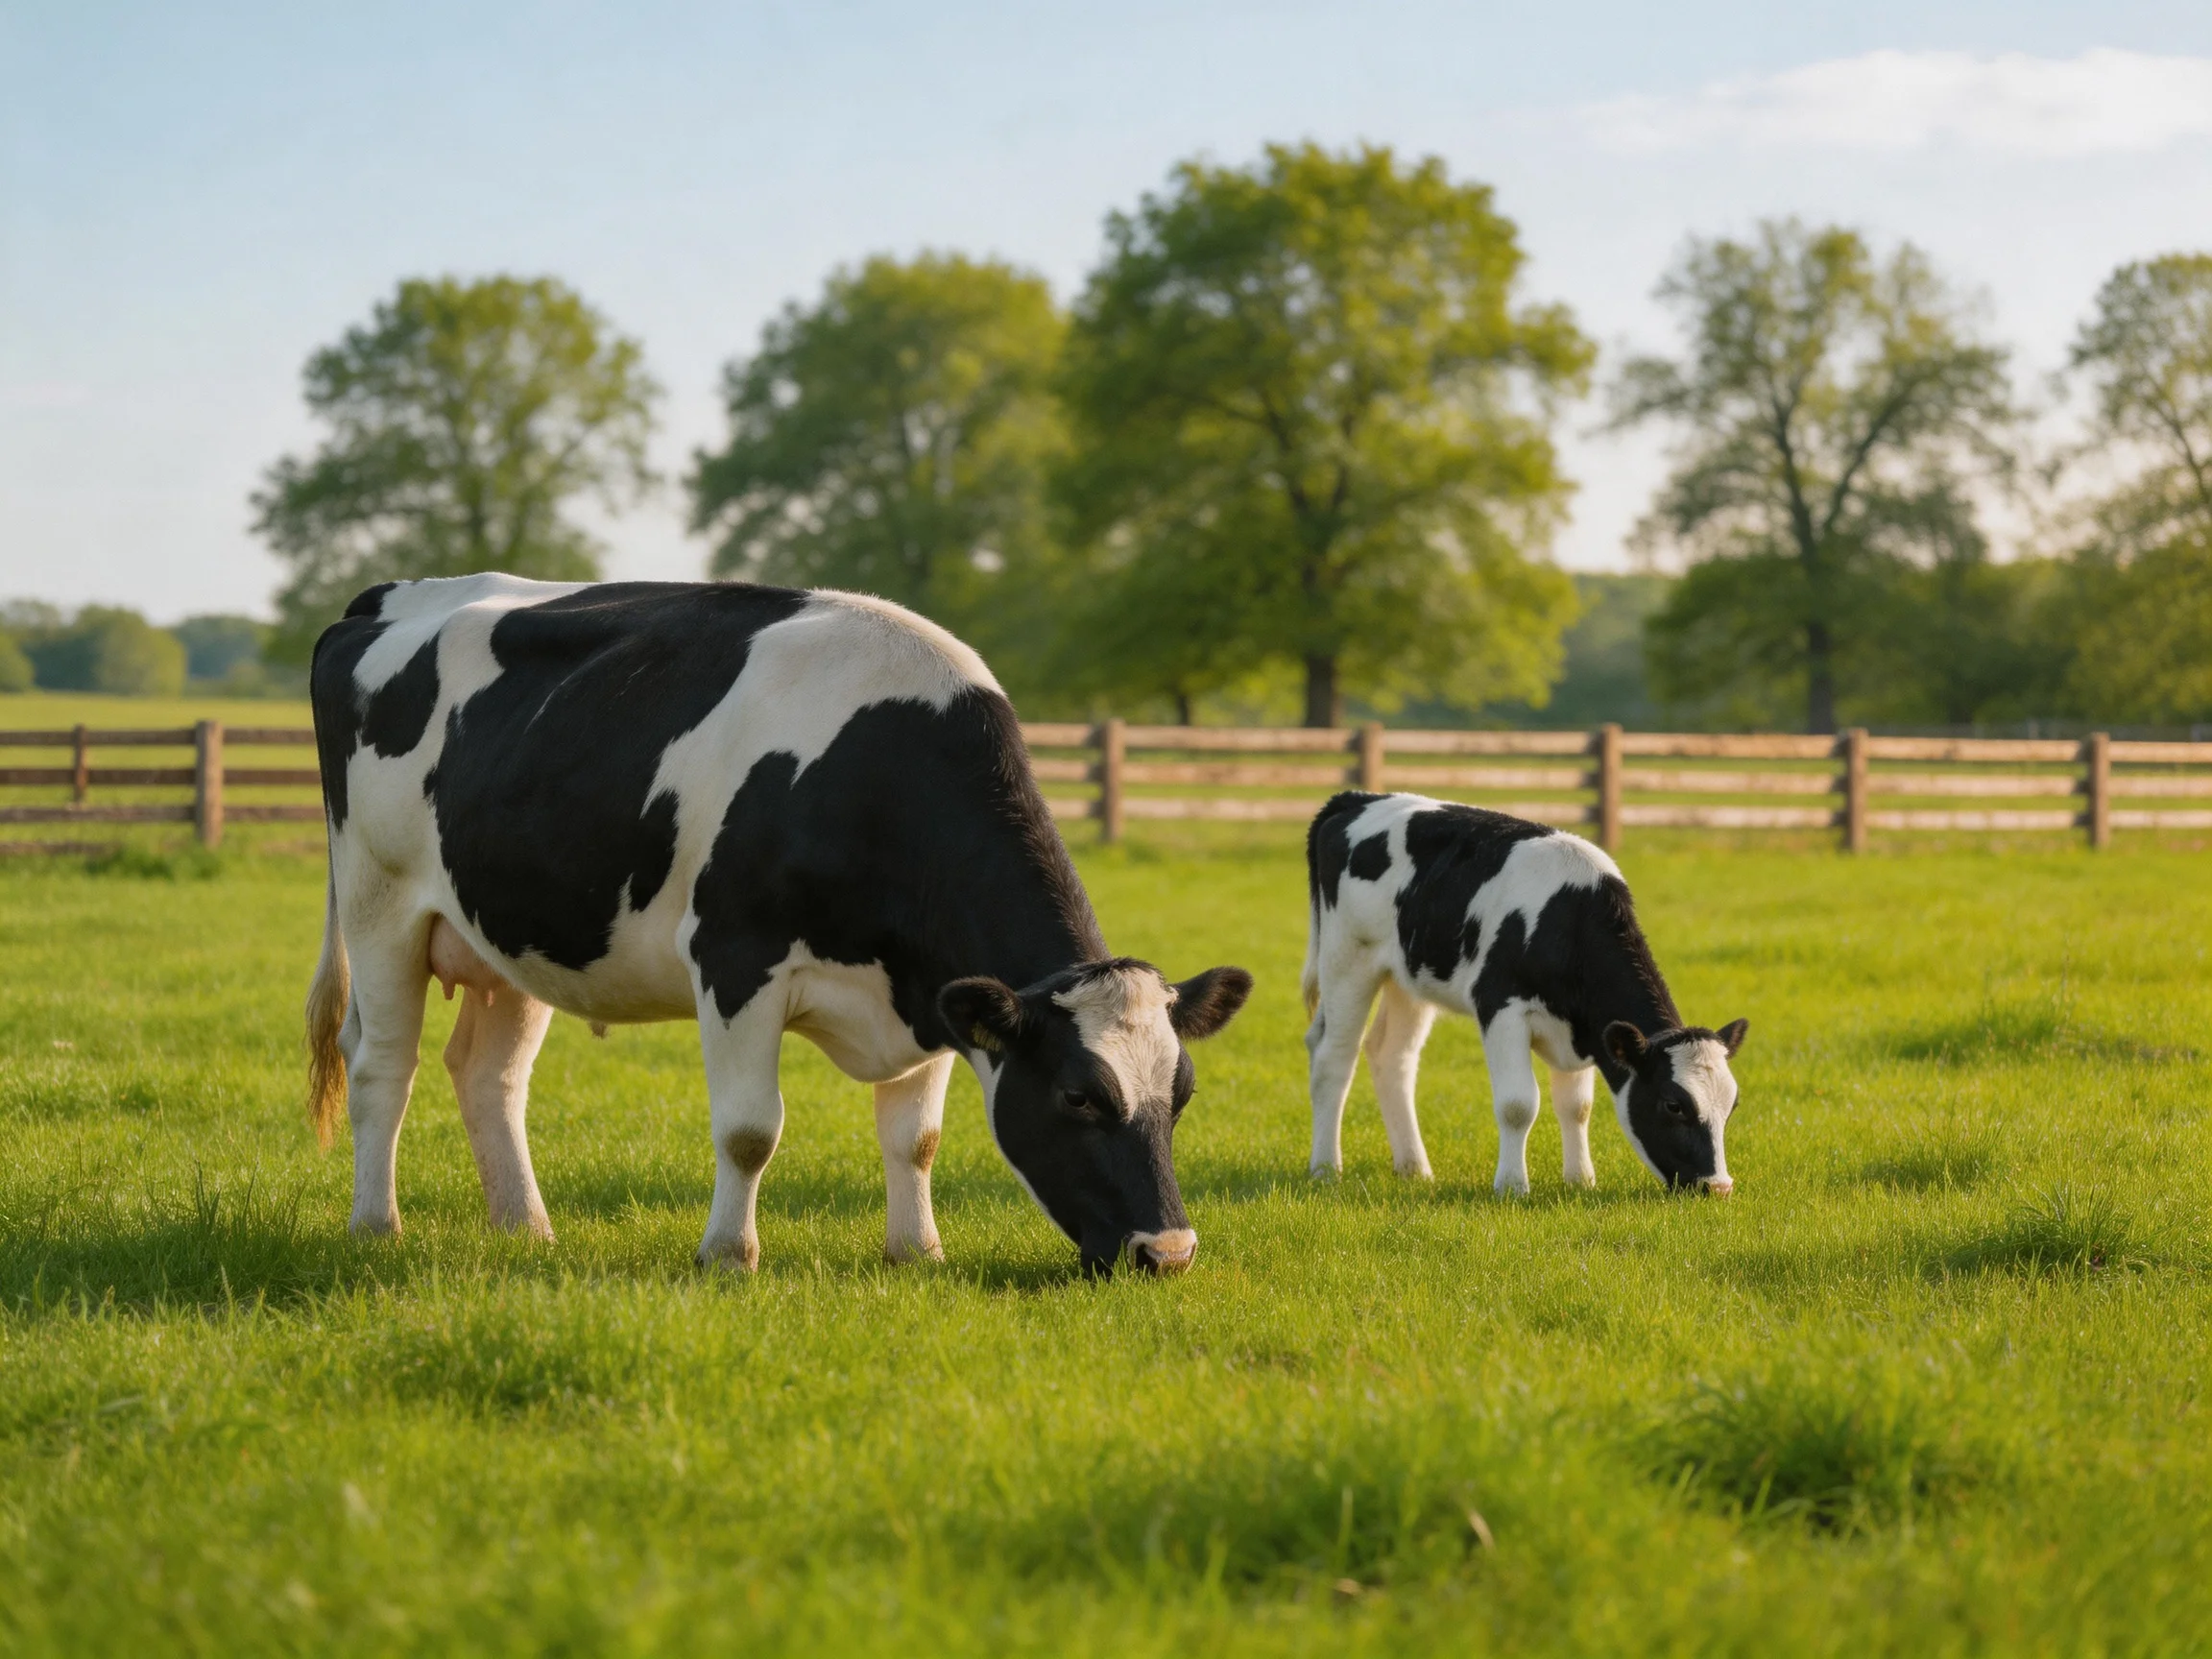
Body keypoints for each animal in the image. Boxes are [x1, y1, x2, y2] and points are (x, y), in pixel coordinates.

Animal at [304, 574, 1252, 1276]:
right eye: (1077, 1096)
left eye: (1182, 1095)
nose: (1168, 1253)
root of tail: (392, 595)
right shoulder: (734, 960)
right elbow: (751, 1129)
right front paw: (729, 1256)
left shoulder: (933, 991)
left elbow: (917, 1138)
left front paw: (918, 1252)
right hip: (380, 903)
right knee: (383, 1064)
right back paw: (375, 1227)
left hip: (513, 936)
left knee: (489, 1075)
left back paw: (525, 1230)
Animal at [1301, 791, 1746, 1196]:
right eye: (1674, 1105)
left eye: (1733, 1106)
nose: (1718, 1187)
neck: (1568, 918)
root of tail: (1358, 798)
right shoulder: (1501, 1008)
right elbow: (1518, 1105)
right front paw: (1512, 1186)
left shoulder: (1584, 1028)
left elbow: (1576, 1107)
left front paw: (1580, 1181)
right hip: (1347, 960)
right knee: (1333, 1059)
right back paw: (1325, 1169)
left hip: (1408, 979)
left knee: (1391, 1056)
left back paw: (1415, 1169)